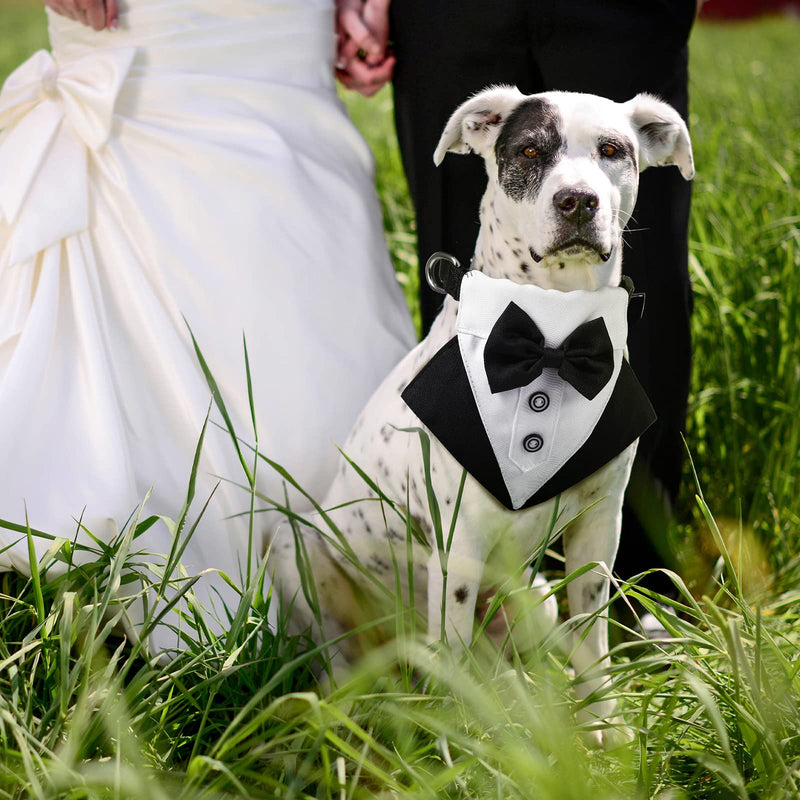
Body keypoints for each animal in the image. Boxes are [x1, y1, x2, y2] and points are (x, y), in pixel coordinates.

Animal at [270, 86, 692, 744]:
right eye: (529, 150)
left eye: (611, 150)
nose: (578, 201)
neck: (552, 333)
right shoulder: (459, 542)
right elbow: (452, 647)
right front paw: (458, 745)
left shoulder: (599, 523)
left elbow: (591, 635)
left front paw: (603, 726)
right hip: (296, 556)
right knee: (345, 657)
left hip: (535, 597)